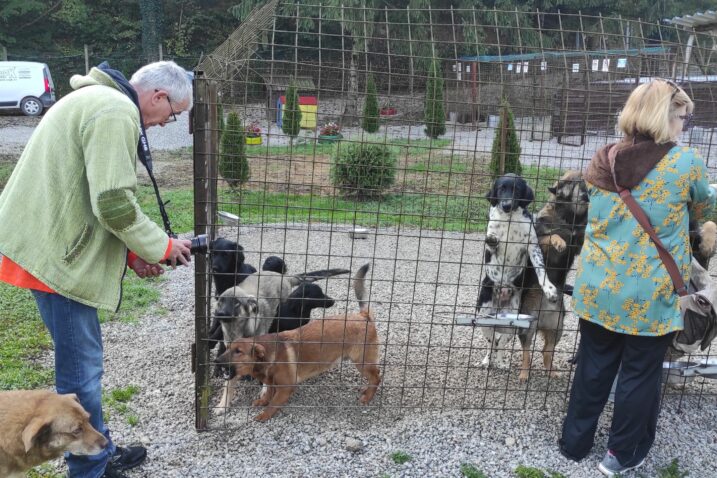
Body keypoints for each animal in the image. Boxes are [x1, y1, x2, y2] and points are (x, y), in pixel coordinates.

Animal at [215, 262, 380, 422]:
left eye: (238, 352)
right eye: (227, 348)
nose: (217, 361)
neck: (272, 355)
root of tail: (363, 315)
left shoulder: (285, 388)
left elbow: (273, 402)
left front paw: (264, 415)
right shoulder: (271, 382)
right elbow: (268, 393)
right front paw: (261, 401)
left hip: (362, 361)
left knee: (377, 377)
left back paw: (368, 396)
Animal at [478, 175, 556, 370]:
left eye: (517, 190)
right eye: (501, 189)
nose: (506, 205)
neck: (509, 219)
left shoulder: (533, 247)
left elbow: (541, 270)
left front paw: (550, 290)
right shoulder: (492, 251)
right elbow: (492, 242)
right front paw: (492, 239)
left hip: (513, 323)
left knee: (500, 342)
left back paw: (500, 363)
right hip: (483, 318)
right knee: (492, 342)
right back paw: (487, 361)